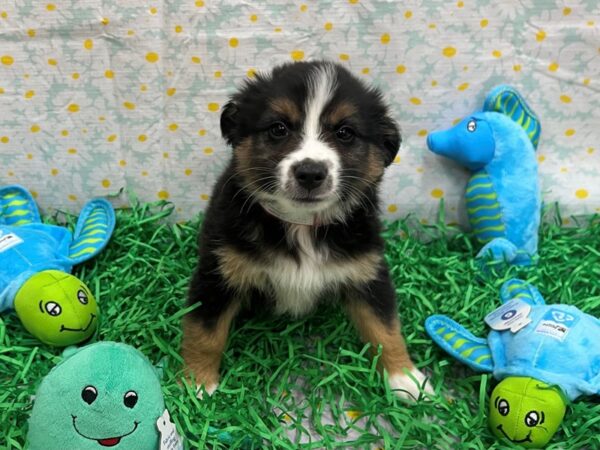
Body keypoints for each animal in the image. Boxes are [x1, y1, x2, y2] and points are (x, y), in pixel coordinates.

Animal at [183, 59, 432, 400]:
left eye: (345, 132)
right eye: (278, 128)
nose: (311, 173)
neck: (300, 224)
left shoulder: (368, 271)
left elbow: (386, 327)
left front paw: (405, 379)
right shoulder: (218, 272)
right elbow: (205, 331)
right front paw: (195, 384)